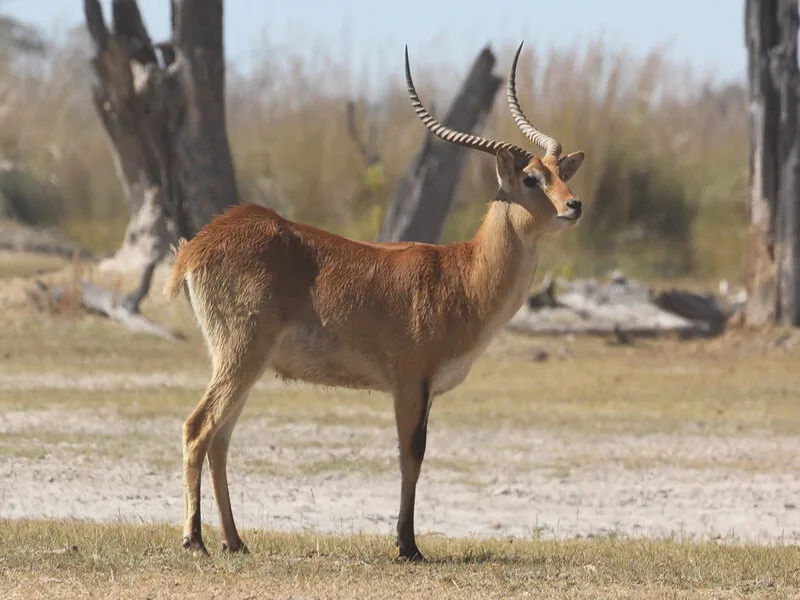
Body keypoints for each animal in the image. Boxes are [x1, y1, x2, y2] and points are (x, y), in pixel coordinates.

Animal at [164, 43, 588, 564]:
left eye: (559, 173)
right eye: (530, 179)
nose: (574, 206)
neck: (461, 276)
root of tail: (194, 246)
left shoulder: (423, 389)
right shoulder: (410, 383)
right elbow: (412, 455)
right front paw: (408, 545)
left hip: (246, 364)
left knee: (220, 437)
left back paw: (235, 540)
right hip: (240, 356)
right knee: (198, 427)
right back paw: (195, 539)